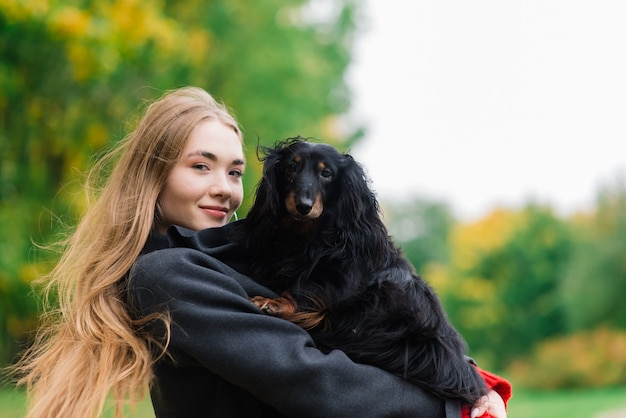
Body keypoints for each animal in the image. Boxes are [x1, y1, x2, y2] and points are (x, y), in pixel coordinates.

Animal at [236, 139, 486, 404]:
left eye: (326, 174)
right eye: (291, 168)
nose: (303, 207)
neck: (305, 237)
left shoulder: (344, 279)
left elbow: (309, 289)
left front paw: (274, 303)